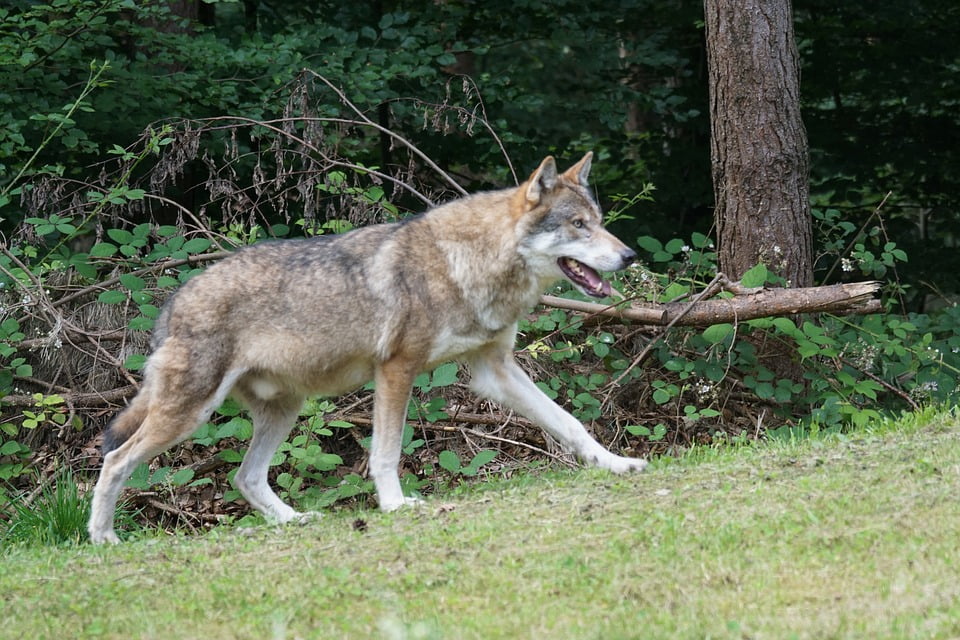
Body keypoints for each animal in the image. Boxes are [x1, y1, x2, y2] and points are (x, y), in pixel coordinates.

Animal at [87, 152, 647, 544]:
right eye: (578, 225)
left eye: (598, 220)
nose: (629, 255)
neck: (469, 262)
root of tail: (173, 300)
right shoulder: (396, 370)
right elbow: (386, 453)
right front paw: (395, 506)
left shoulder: (495, 371)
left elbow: (570, 423)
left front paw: (615, 465)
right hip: (191, 415)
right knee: (115, 461)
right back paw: (104, 538)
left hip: (283, 409)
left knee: (245, 477)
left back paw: (295, 521)